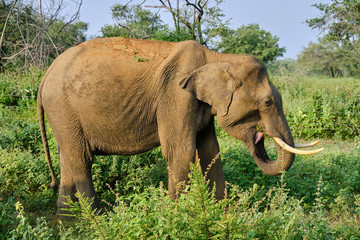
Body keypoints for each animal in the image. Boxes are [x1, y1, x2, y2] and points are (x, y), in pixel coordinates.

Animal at [37, 37, 324, 216]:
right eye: (267, 102)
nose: (260, 136)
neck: (218, 58)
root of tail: (45, 76)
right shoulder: (175, 96)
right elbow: (181, 152)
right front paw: (176, 219)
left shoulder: (201, 104)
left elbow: (210, 151)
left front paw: (222, 216)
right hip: (63, 107)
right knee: (82, 159)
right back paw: (97, 221)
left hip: (63, 116)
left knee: (68, 158)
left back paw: (68, 223)